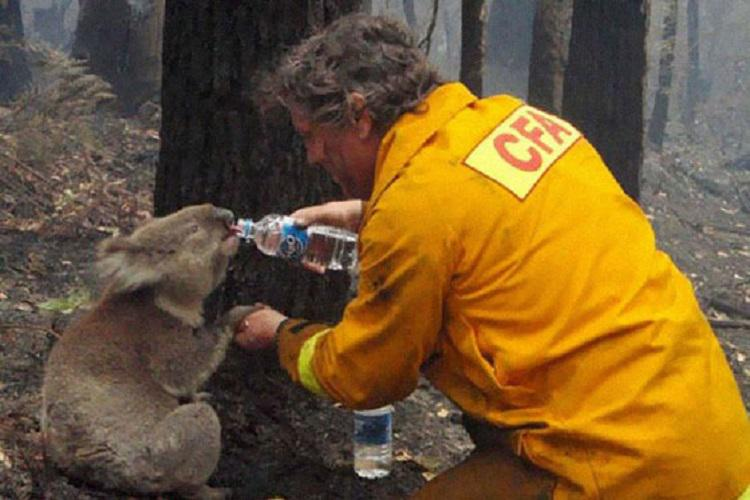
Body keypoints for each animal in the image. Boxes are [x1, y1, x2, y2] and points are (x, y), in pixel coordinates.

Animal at [41, 203, 254, 499]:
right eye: (194, 229)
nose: (229, 217)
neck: (161, 296)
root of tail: (103, 467)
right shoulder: (161, 338)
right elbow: (188, 367)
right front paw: (242, 313)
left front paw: (198, 393)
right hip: (164, 449)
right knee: (194, 442)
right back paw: (212, 491)